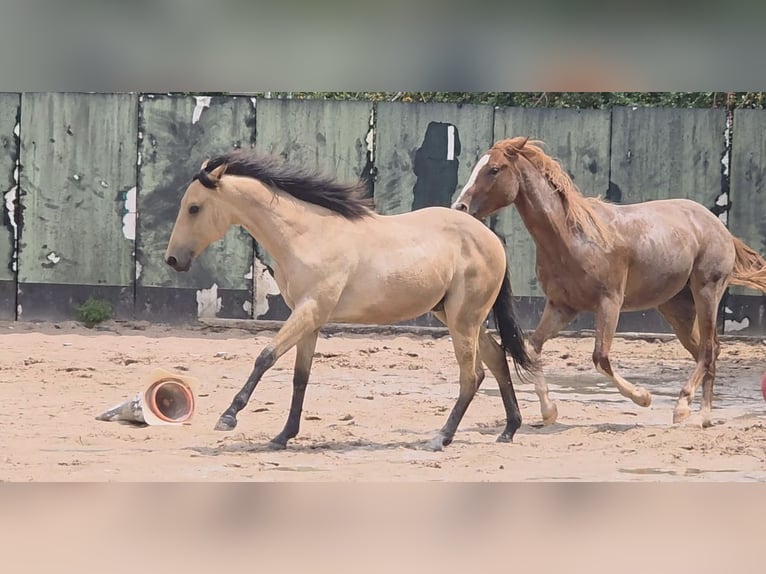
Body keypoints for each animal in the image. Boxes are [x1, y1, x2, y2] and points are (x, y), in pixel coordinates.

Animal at [164, 150, 532, 451]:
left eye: (194, 208)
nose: (172, 259)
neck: (306, 235)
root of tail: (491, 238)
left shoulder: (310, 310)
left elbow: (265, 356)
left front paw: (228, 416)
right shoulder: (310, 319)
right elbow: (300, 377)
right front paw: (283, 436)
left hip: (463, 319)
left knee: (472, 375)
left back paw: (440, 438)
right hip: (458, 317)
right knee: (496, 359)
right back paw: (509, 430)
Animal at [452, 136, 766, 428]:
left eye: (494, 169)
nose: (460, 206)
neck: (573, 236)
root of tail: (716, 225)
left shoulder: (609, 303)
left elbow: (600, 357)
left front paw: (643, 397)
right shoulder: (561, 306)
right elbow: (532, 348)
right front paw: (548, 410)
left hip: (706, 292)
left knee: (708, 350)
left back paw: (685, 407)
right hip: (678, 308)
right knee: (707, 349)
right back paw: (704, 415)